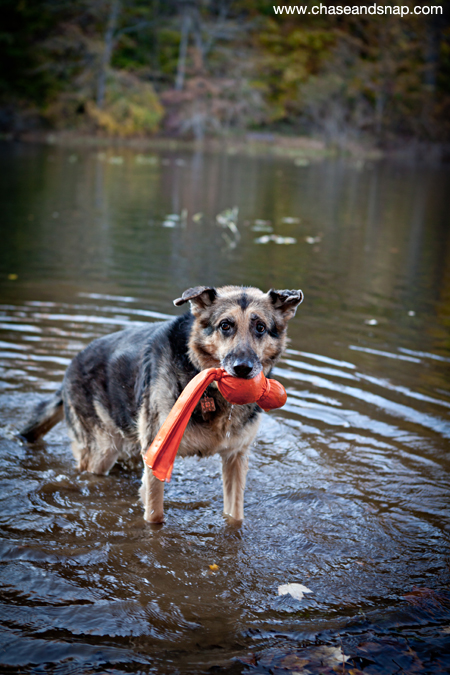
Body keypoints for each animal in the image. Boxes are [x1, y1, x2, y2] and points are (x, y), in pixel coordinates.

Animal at [20, 286, 302, 524]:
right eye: (225, 326)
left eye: (260, 327)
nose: (242, 369)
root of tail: (72, 365)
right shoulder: (156, 461)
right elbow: (155, 516)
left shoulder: (236, 458)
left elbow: (235, 516)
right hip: (100, 453)